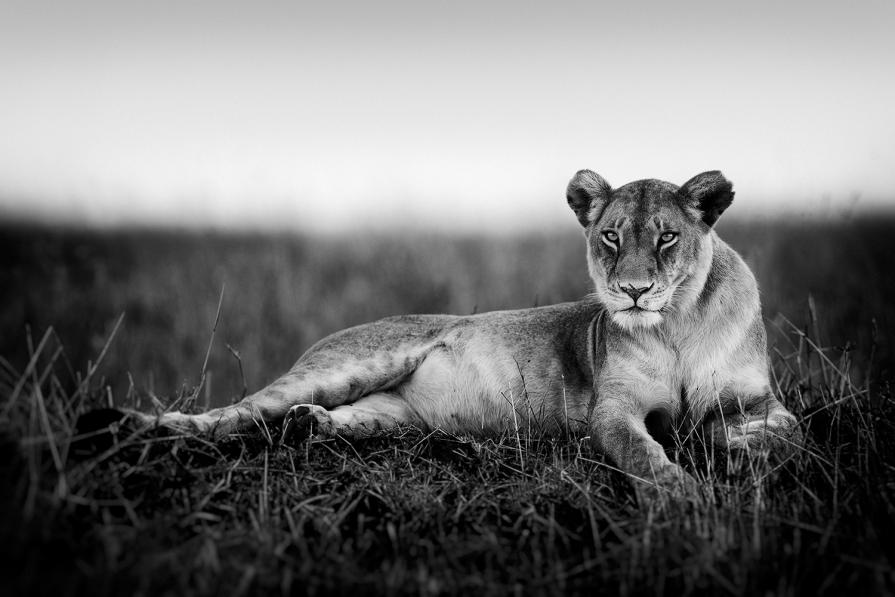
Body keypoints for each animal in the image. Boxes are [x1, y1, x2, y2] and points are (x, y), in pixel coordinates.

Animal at [90, 170, 800, 502]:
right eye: (610, 236)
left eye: (668, 237)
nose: (631, 290)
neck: (675, 326)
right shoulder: (612, 409)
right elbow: (642, 451)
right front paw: (683, 494)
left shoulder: (757, 400)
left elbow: (786, 434)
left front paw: (732, 454)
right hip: (349, 365)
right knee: (232, 414)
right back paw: (132, 425)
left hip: (393, 416)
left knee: (329, 420)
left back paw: (308, 427)